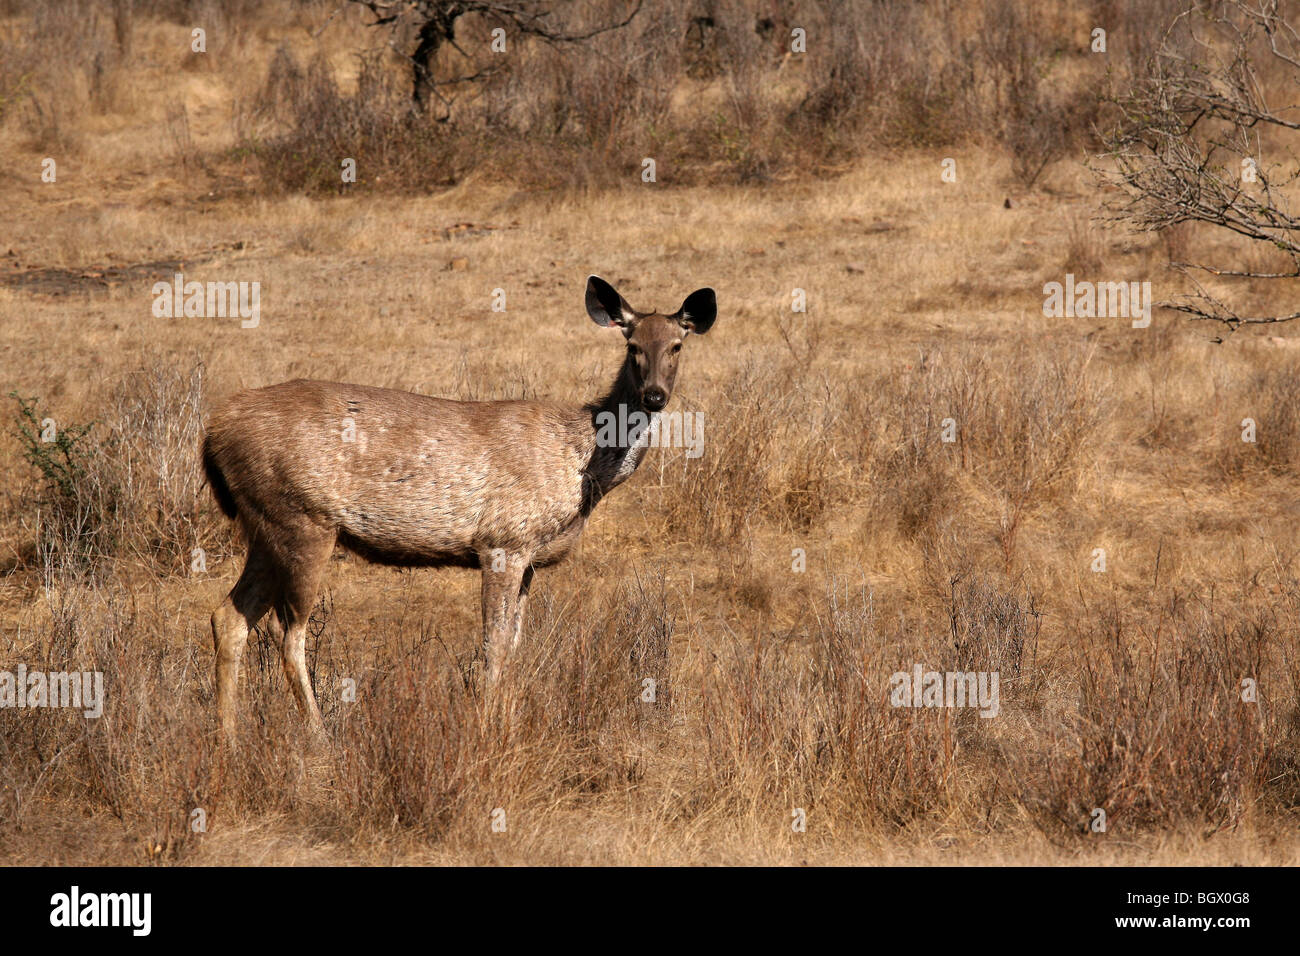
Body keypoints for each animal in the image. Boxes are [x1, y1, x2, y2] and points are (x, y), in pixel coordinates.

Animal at [200, 277, 722, 738]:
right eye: (632, 344)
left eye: (677, 345)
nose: (655, 395)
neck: (580, 467)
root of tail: (214, 431)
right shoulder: (503, 540)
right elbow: (493, 643)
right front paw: (487, 724)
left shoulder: (529, 559)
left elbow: (513, 644)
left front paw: (507, 718)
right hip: (303, 518)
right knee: (287, 632)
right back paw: (318, 738)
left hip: (266, 524)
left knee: (229, 616)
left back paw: (228, 737)